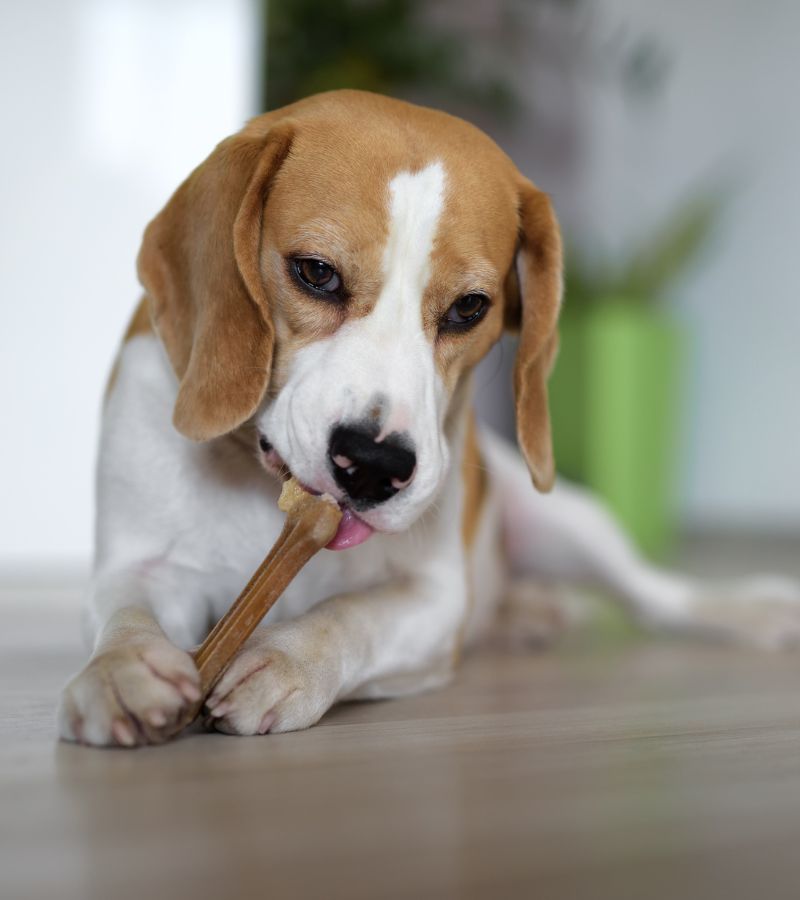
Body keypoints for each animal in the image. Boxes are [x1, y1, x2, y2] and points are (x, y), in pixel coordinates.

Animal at [59, 91, 800, 748]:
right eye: (315, 272)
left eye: (469, 308)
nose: (374, 464)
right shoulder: (141, 565)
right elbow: (126, 614)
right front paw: (122, 669)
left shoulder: (434, 599)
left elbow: (348, 615)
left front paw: (290, 658)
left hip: (568, 520)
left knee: (652, 594)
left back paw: (743, 608)